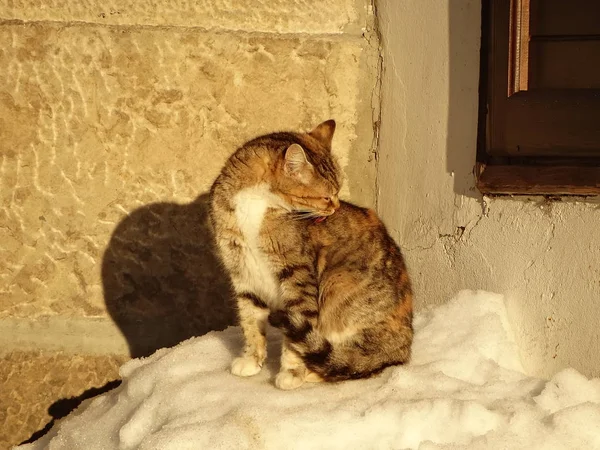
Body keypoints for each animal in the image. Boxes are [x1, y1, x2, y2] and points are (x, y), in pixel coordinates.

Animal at [210, 120, 412, 390]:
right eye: (326, 196)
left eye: (338, 191)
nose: (336, 207)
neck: (255, 205)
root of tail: (405, 346)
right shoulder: (242, 271)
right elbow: (250, 320)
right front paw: (251, 360)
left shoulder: (298, 274)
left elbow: (298, 329)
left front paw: (292, 373)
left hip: (338, 286)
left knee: (353, 361)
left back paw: (315, 372)